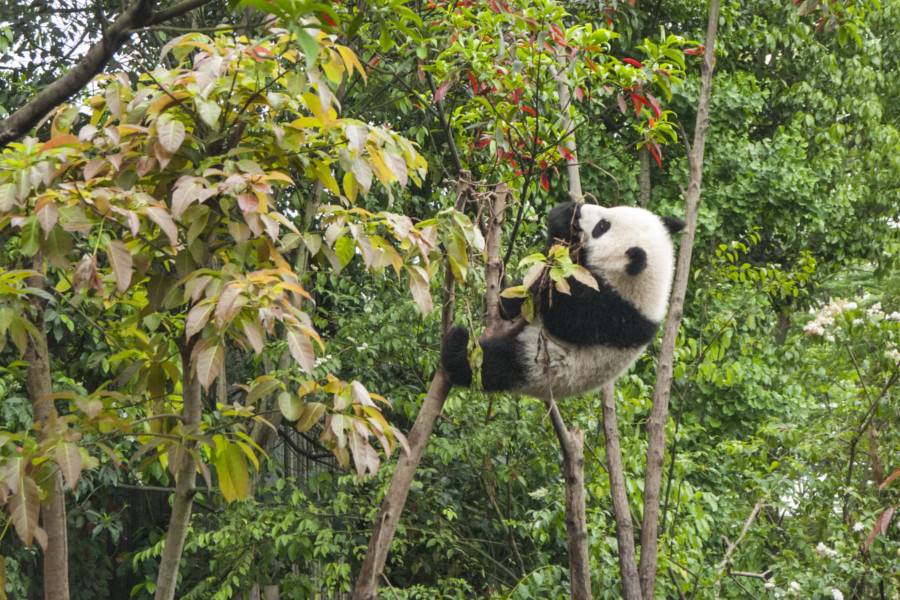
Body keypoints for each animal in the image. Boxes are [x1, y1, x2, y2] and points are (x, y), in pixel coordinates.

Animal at [441, 201, 684, 400]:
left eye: (602, 227)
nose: (581, 209)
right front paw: (564, 215)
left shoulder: (612, 313)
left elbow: (561, 314)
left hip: (538, 366)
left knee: (493, 365)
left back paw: (456, 345)